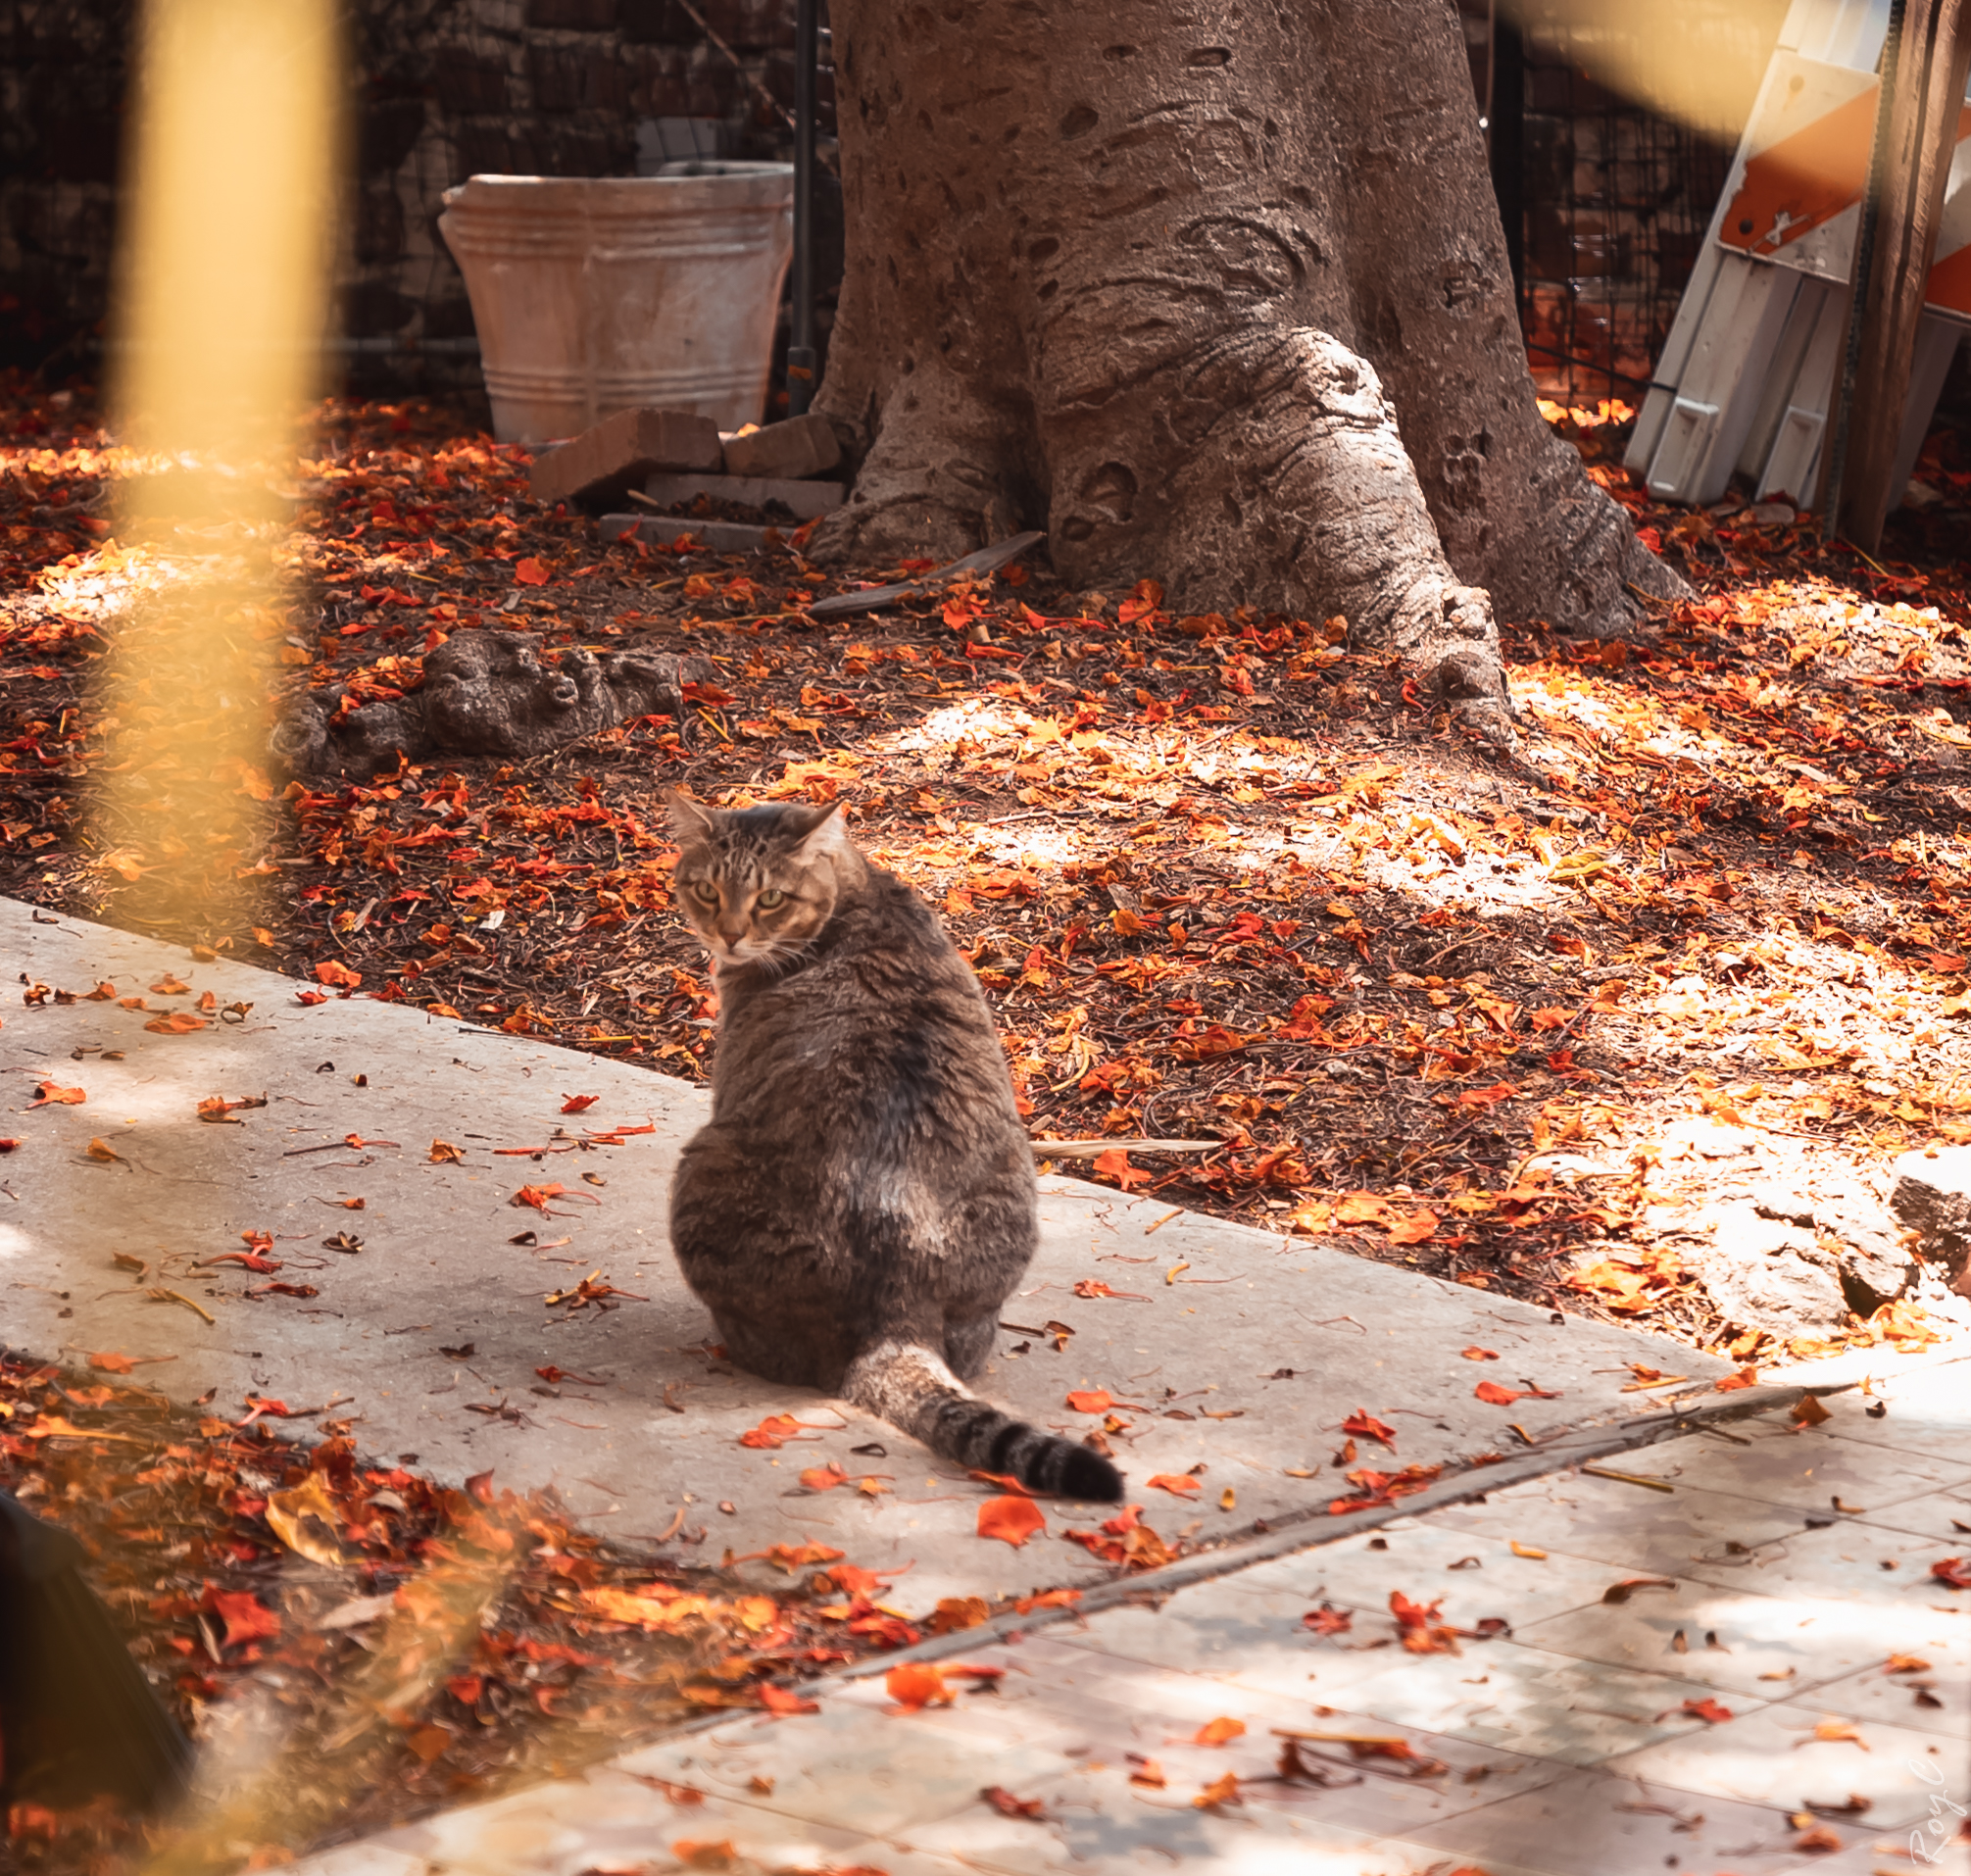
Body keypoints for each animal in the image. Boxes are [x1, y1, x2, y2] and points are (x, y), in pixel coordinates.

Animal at [665, 792, 1119, 1497]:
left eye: (770, 899)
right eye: (708, 890)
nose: (729, 935)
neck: (853, 895)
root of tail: (898, 1299)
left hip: (700, 1166)